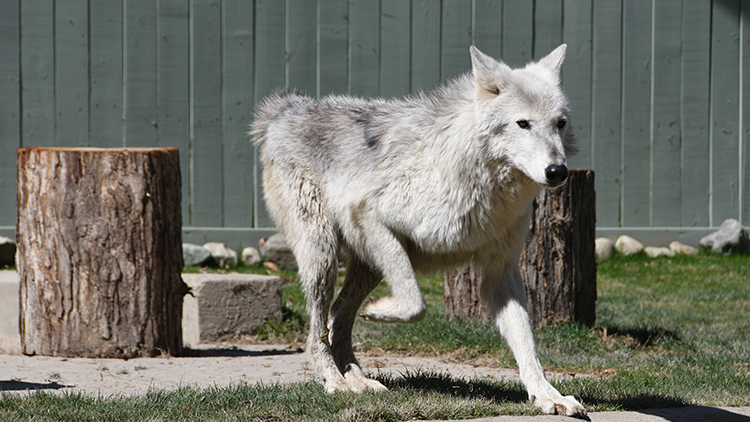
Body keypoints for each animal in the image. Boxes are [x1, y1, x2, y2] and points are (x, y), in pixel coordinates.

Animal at [251, 44, 586, 417]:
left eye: (560, 123)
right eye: (523, 123)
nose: (557, 171)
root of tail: (287, 108)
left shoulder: (501, 272)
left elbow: (528, 345)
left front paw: (549, 397)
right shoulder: (371, 215)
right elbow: (416, 305)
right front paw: (378, 312)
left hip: (367, 267)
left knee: (337, 320)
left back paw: (359, 382)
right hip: (324, 258)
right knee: (316, 333)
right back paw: (336, 383)